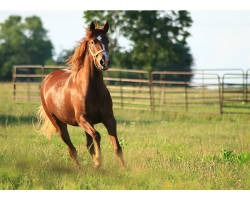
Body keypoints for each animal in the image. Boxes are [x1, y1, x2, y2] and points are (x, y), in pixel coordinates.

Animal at [37, 21, 125, 170]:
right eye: (93, 41)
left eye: (107, 41)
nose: (104, 61)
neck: (94, 89)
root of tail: (47, 78)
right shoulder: (82, 119)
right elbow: (97, 135)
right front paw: (98, 161)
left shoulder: (109, 119)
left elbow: (116, 146)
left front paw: (125, 169)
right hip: (59, 124)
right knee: (71, 149)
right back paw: (81, 170)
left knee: (88, 146)